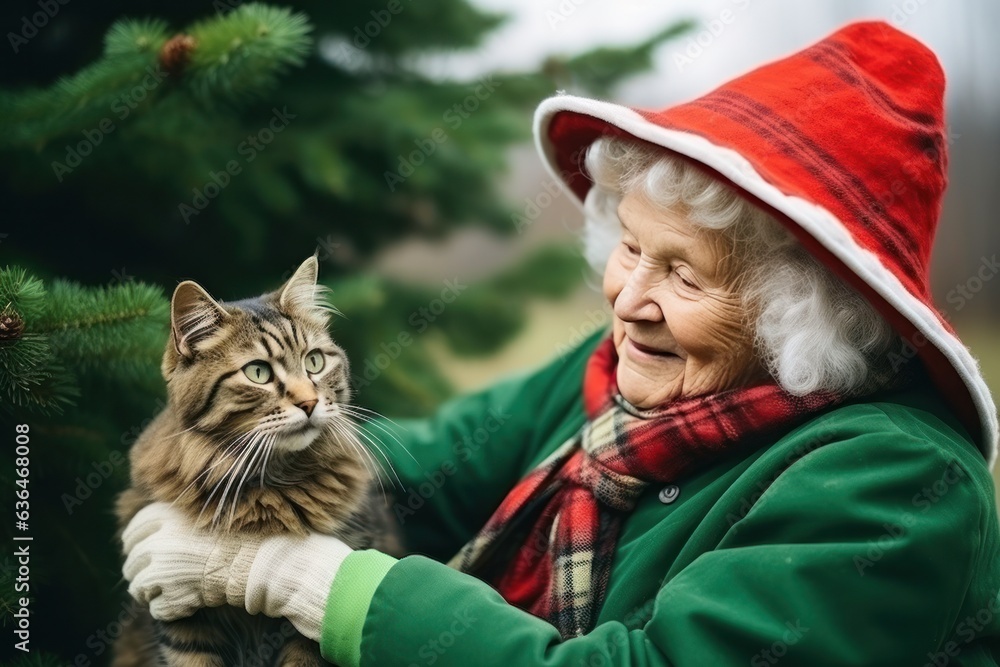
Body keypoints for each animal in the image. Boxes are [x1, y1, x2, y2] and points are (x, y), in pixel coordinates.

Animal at [112, 258, 402, 667]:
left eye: (314, 362)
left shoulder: (306, 634)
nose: (309, 403)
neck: (269, 484)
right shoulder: (181, 622)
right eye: (258, 372)